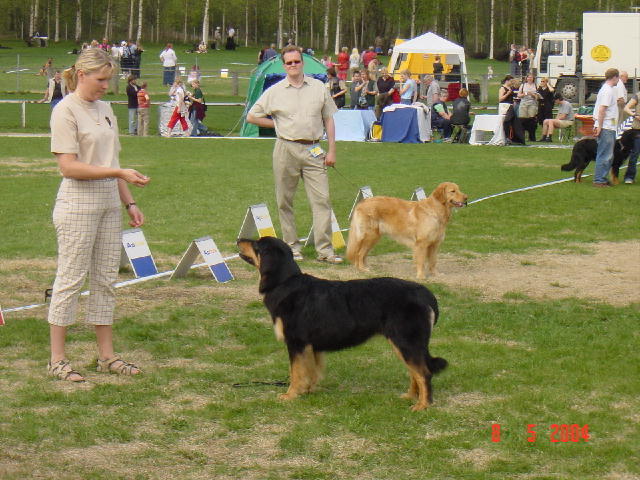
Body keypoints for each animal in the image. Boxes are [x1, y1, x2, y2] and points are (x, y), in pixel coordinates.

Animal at [238, 238, 448, 410]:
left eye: (256, 245)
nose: (239, 239)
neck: (284, 283)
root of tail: (425, 293)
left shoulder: (296, 342)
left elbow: (296, 373)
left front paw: (290, 395)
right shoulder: (311, 346)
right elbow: (311, 371)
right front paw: (308, 391)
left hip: (405, 341)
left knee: (424, 373)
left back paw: (422, 405)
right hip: (404, 344)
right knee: (415, 372)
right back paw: (410, 397)